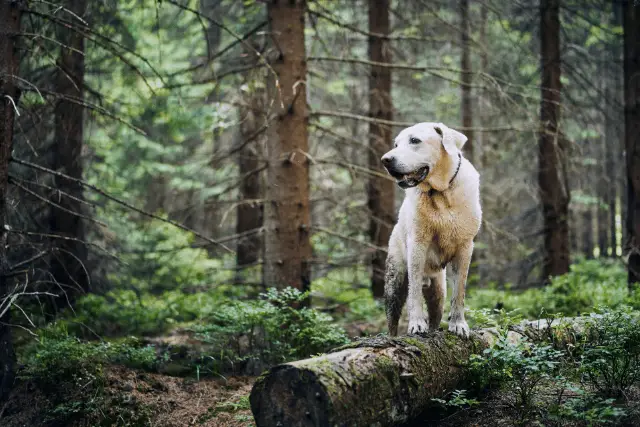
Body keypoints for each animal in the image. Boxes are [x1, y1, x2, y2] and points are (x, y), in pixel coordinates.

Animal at [380, 121, 480, 338]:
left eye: (414, 140)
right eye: (396, 144)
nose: (385, 160)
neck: (441, 193)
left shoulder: (465, 247)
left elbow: (459, 291)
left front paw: (459, 324)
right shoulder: (418, 244)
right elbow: (415, 291)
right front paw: (417, 323)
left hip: (438, 292)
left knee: (436, 313)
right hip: (395, 281)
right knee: (392, 319)